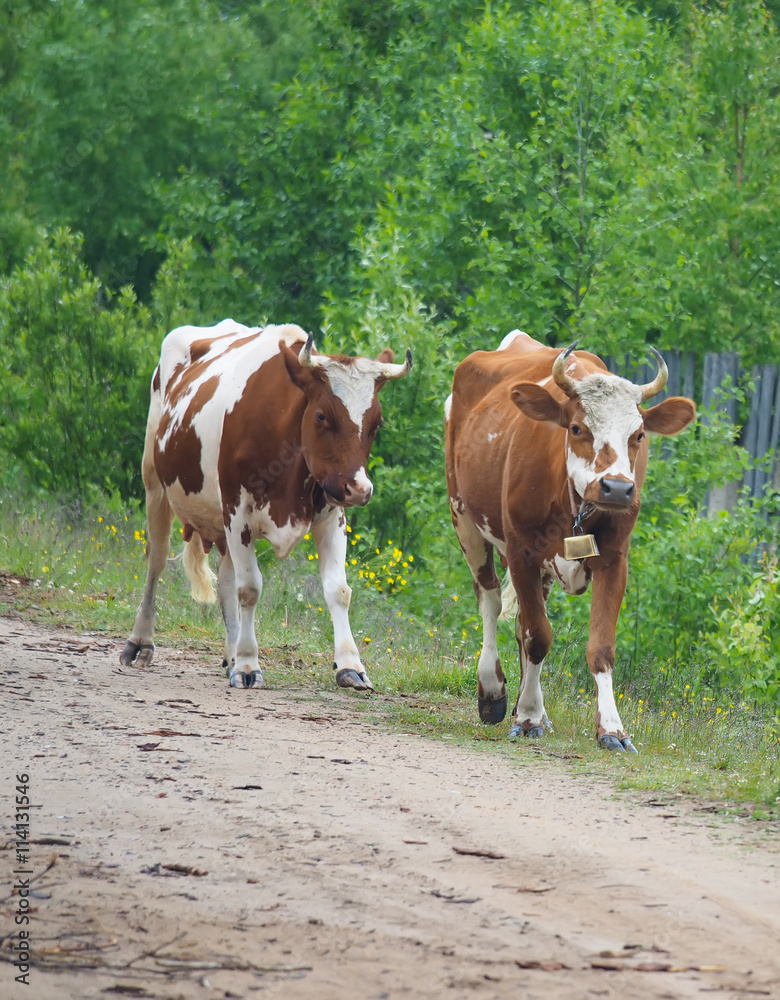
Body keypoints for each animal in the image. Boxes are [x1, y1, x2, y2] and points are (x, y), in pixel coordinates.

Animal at [119, 318, 412, 688]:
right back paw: (141, 642)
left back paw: (230, 654)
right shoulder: (237, 511)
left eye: (377, 423)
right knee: (156, 561)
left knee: (225, 579)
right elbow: (249, 588)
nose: (359, 489)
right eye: (321, 416)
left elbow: (338, 590)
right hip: (155, 484)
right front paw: (248, 664)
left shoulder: (332, 513)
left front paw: (350, 665)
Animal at [444, 334, 696, 752]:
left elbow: (599, 647)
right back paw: (494, 692)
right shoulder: (521, 552)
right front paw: (528, 717)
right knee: (490, 599)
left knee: (518, 620)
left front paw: (611, 728)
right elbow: (538, 636)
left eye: (639, 435)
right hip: (464, 517)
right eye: (577, 428)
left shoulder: (615, 559)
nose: (617, 488)